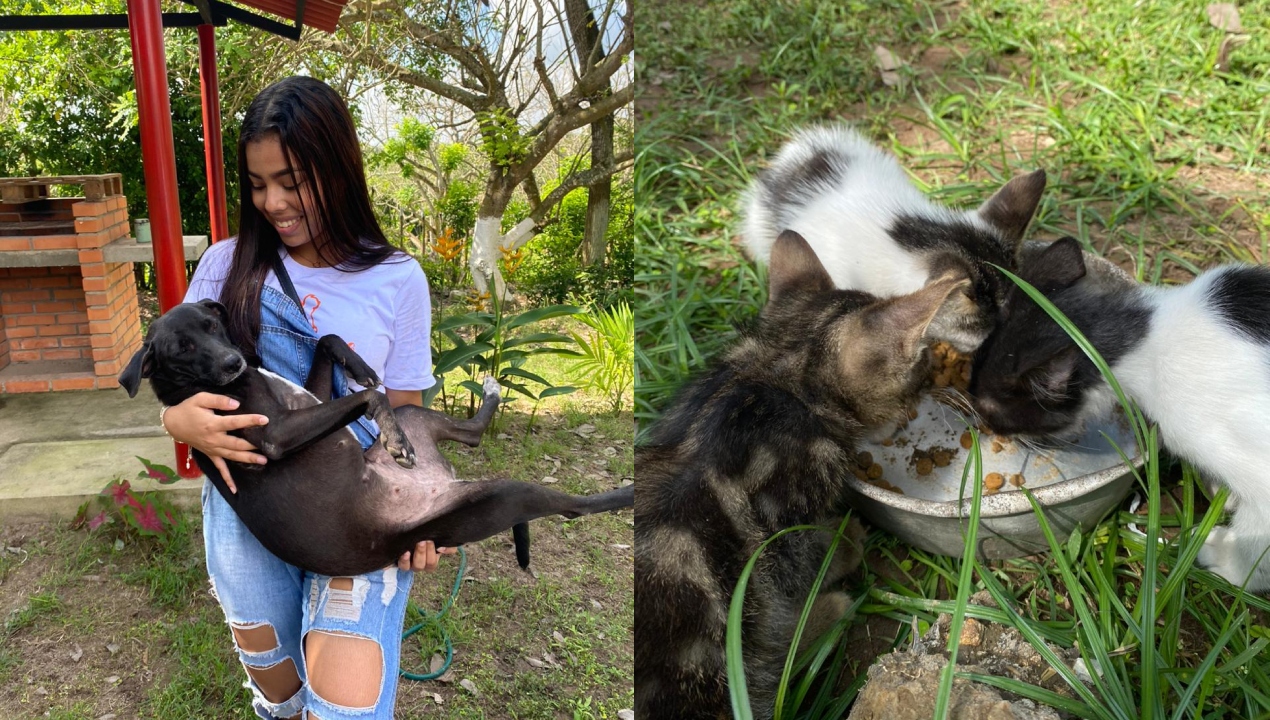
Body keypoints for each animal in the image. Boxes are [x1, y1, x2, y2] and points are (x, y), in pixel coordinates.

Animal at [119, 300, 635, 576]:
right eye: (181, 349)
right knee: (573, 507)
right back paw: (626, 493)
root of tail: (440, 483)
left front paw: (359, 364)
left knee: (469, 432)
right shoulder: (274, 436)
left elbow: (328, 341)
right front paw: (393, 438)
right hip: (499, 497)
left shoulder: (310, 396)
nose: (233, 363)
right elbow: (369, 398)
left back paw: (487, 390)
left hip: (421, 418)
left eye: (212, 326)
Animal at [970, 236, 1270, 591]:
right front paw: (1224, 494)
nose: (982, 427)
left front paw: (1231, 564)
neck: (1142, 336)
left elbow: (1258, 534)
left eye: (989, 411)